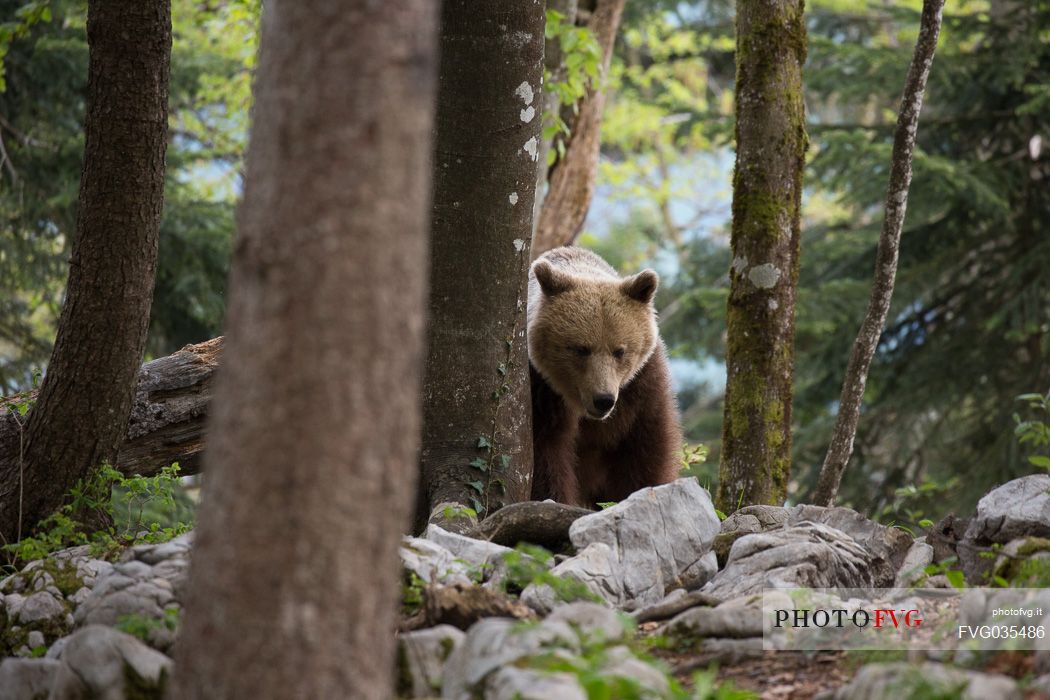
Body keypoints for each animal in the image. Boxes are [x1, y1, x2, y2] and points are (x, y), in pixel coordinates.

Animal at [525, 247, 680, 510]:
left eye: (620, 351)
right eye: (580, 349)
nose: (603, 400)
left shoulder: (639, 387)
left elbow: (644, 451)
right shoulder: (543, 390)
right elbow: (547, 452)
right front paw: (555, 499)